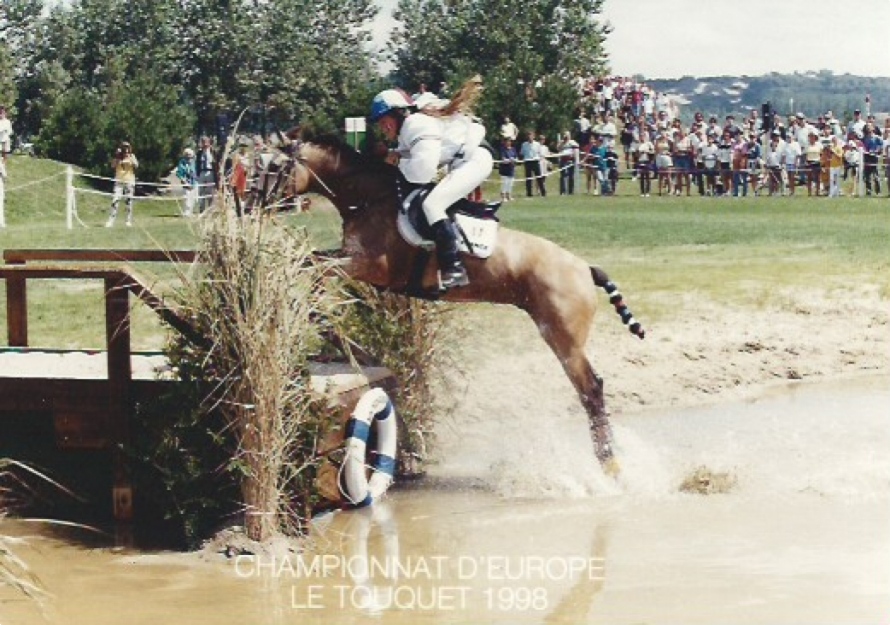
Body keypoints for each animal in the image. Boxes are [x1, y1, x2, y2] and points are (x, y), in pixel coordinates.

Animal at [259, 136, 645, 476]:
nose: (255, 203)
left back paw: (609, 463)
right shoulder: (354, 262)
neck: (371, 200)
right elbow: (311, 260)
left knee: (591, 389)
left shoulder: (367, 265)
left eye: (275, 166)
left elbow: (313, 265)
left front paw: (315, 313)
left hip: (563, 338)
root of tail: (584, 268)